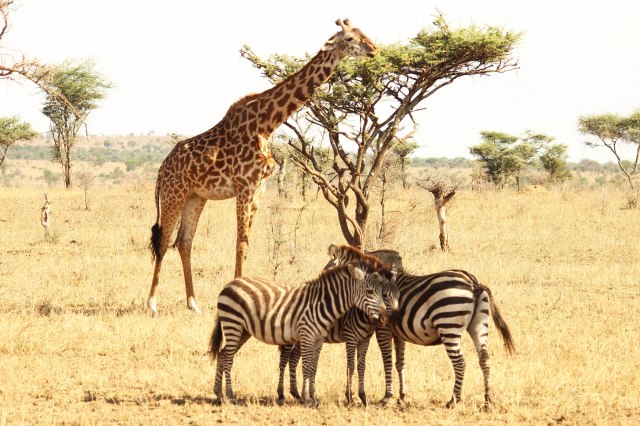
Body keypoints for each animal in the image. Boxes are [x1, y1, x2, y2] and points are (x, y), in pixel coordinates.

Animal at [209, 262, 393, 406]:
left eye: (382, 293)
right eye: (369, 291)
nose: (385, 318)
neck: (321, 303)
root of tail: (230, 283)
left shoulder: (318, 339)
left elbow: (313, 367)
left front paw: (313, 397)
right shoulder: (307, 335)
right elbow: (306, 366)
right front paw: (307, 399)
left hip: (243, 330)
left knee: (222, 354)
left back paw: (219, 394)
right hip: (233, 324)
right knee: (228, 358)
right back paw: (230, 395)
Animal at [278, 245, 400, 406]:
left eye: (397, 295)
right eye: (384, 295)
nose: (386, 319)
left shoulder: (364, 340)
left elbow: (361, 366)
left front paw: (362, 396)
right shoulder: (350, 337)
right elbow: (351, 366)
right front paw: (349, 397)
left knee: (293, 359)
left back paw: (296, 394)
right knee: (284, 360)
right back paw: (281, 394)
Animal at [326, 244, 515, 409]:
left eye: (327, 269)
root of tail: (473, 283)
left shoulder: (383, 329)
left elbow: (387, 361)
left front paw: (387, 397)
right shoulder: (398, 333)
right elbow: (399, 363)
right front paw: (402, 396)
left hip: (449, 324)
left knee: (460, 362)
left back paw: (453, 400)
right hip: (479, 325)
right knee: (484, 359)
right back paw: (487, 400)